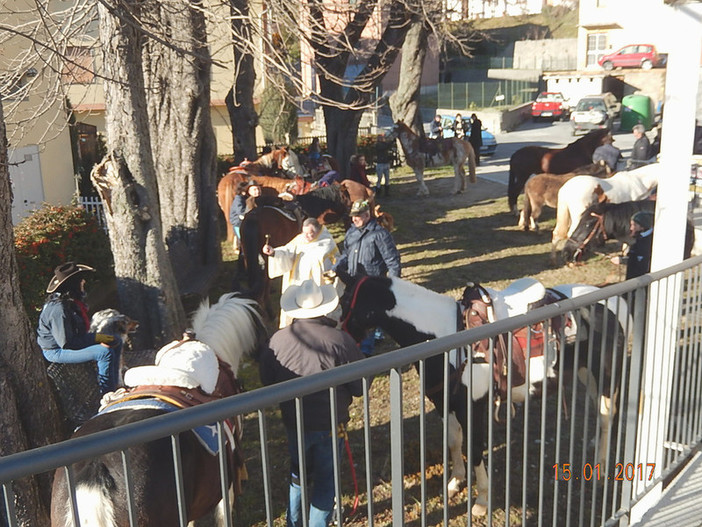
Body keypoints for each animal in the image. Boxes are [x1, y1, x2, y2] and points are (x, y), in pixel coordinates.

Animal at [340, 274, 628, 516]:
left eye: (345, 301)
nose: (344, 342)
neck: (446, 337)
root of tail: (615, 302)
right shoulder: (445, 403)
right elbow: (453, 442)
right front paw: (455, 481)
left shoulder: (472, 406)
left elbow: (475, 449)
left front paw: (481, 500)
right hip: (586, 373)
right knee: (603, 411)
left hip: (605, 375)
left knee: (606, 414)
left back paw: (601, 466)